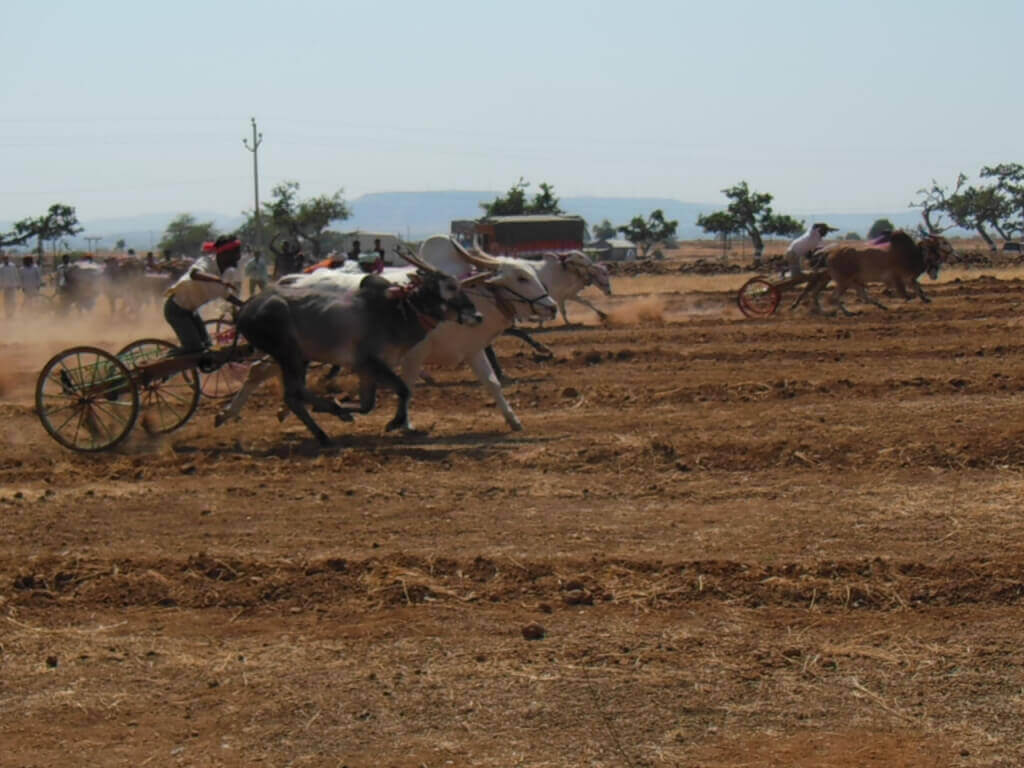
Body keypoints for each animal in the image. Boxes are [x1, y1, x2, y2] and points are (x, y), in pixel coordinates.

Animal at [210, 237, 557, 434]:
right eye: (521, 277)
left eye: (534, 273)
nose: (551, 307)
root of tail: (290, 280)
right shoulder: (412, 355)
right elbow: (409, 387)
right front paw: (403, 423)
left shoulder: (472, 350)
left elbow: (493, 383)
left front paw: (513, 420)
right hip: (292, 354)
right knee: (263, 374)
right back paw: (232, 414)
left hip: (296, 356)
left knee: (264, 375)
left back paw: (238, 413)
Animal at [802, 231, 954, 315]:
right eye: (943, 243)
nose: (955, 255)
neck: (914, 254)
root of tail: (828, 254)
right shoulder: (897, 279)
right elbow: (907, 295)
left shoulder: (908, 279)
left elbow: (919, 290)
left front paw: (926, 299)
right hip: (843, 282)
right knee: (832, 297)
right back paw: (847, 313)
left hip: (850, 282)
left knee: (856, 297)